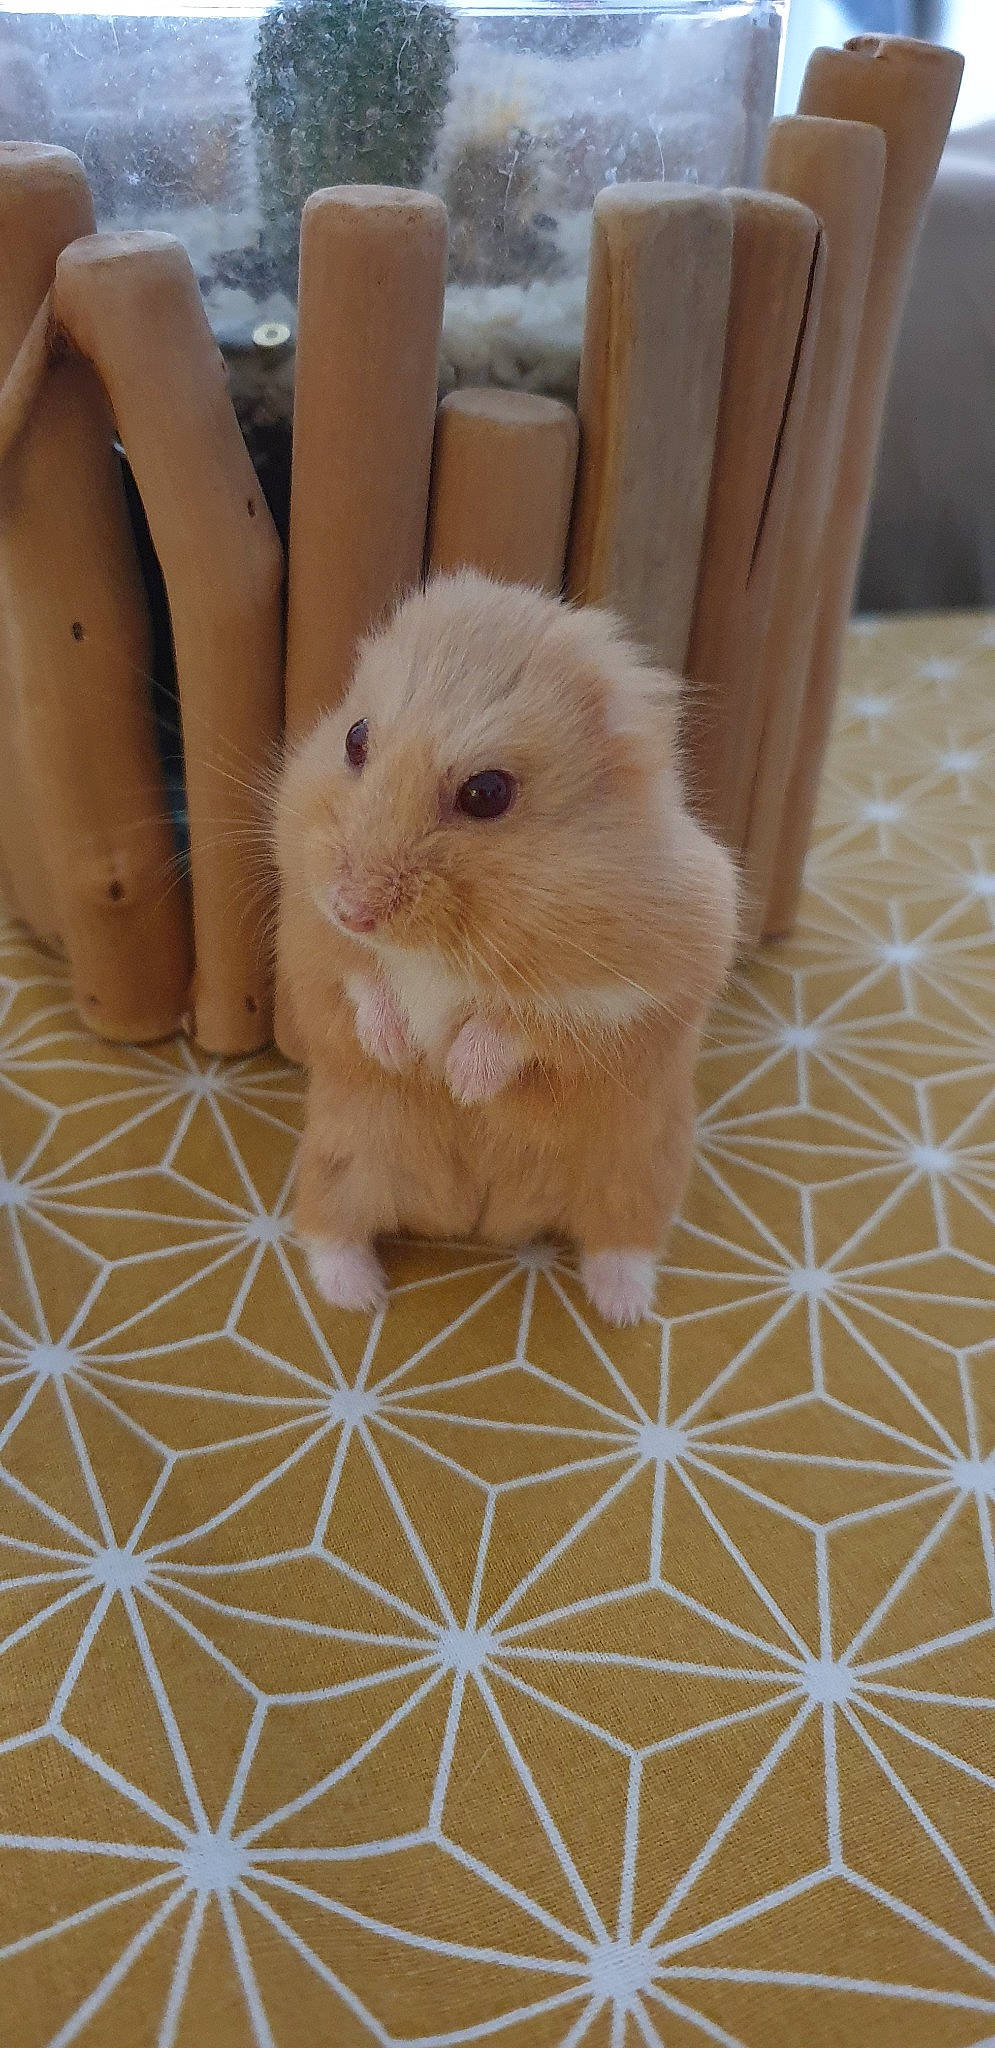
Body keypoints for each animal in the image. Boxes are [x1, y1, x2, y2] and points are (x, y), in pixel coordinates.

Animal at [274, 571, 738, 1325]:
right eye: (355, 738)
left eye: (486, 792)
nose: (353, 910)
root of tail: (476, 1216)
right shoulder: (310, 934)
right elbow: (359, 978)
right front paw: (399, 1053)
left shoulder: (649, 974)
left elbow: (526, 1020)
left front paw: (458, 1081)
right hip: (338, 1156)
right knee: (328, 1229)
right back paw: (360, 1298)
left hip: (640, 1170)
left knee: (622, 1241)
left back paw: (622, 1308)